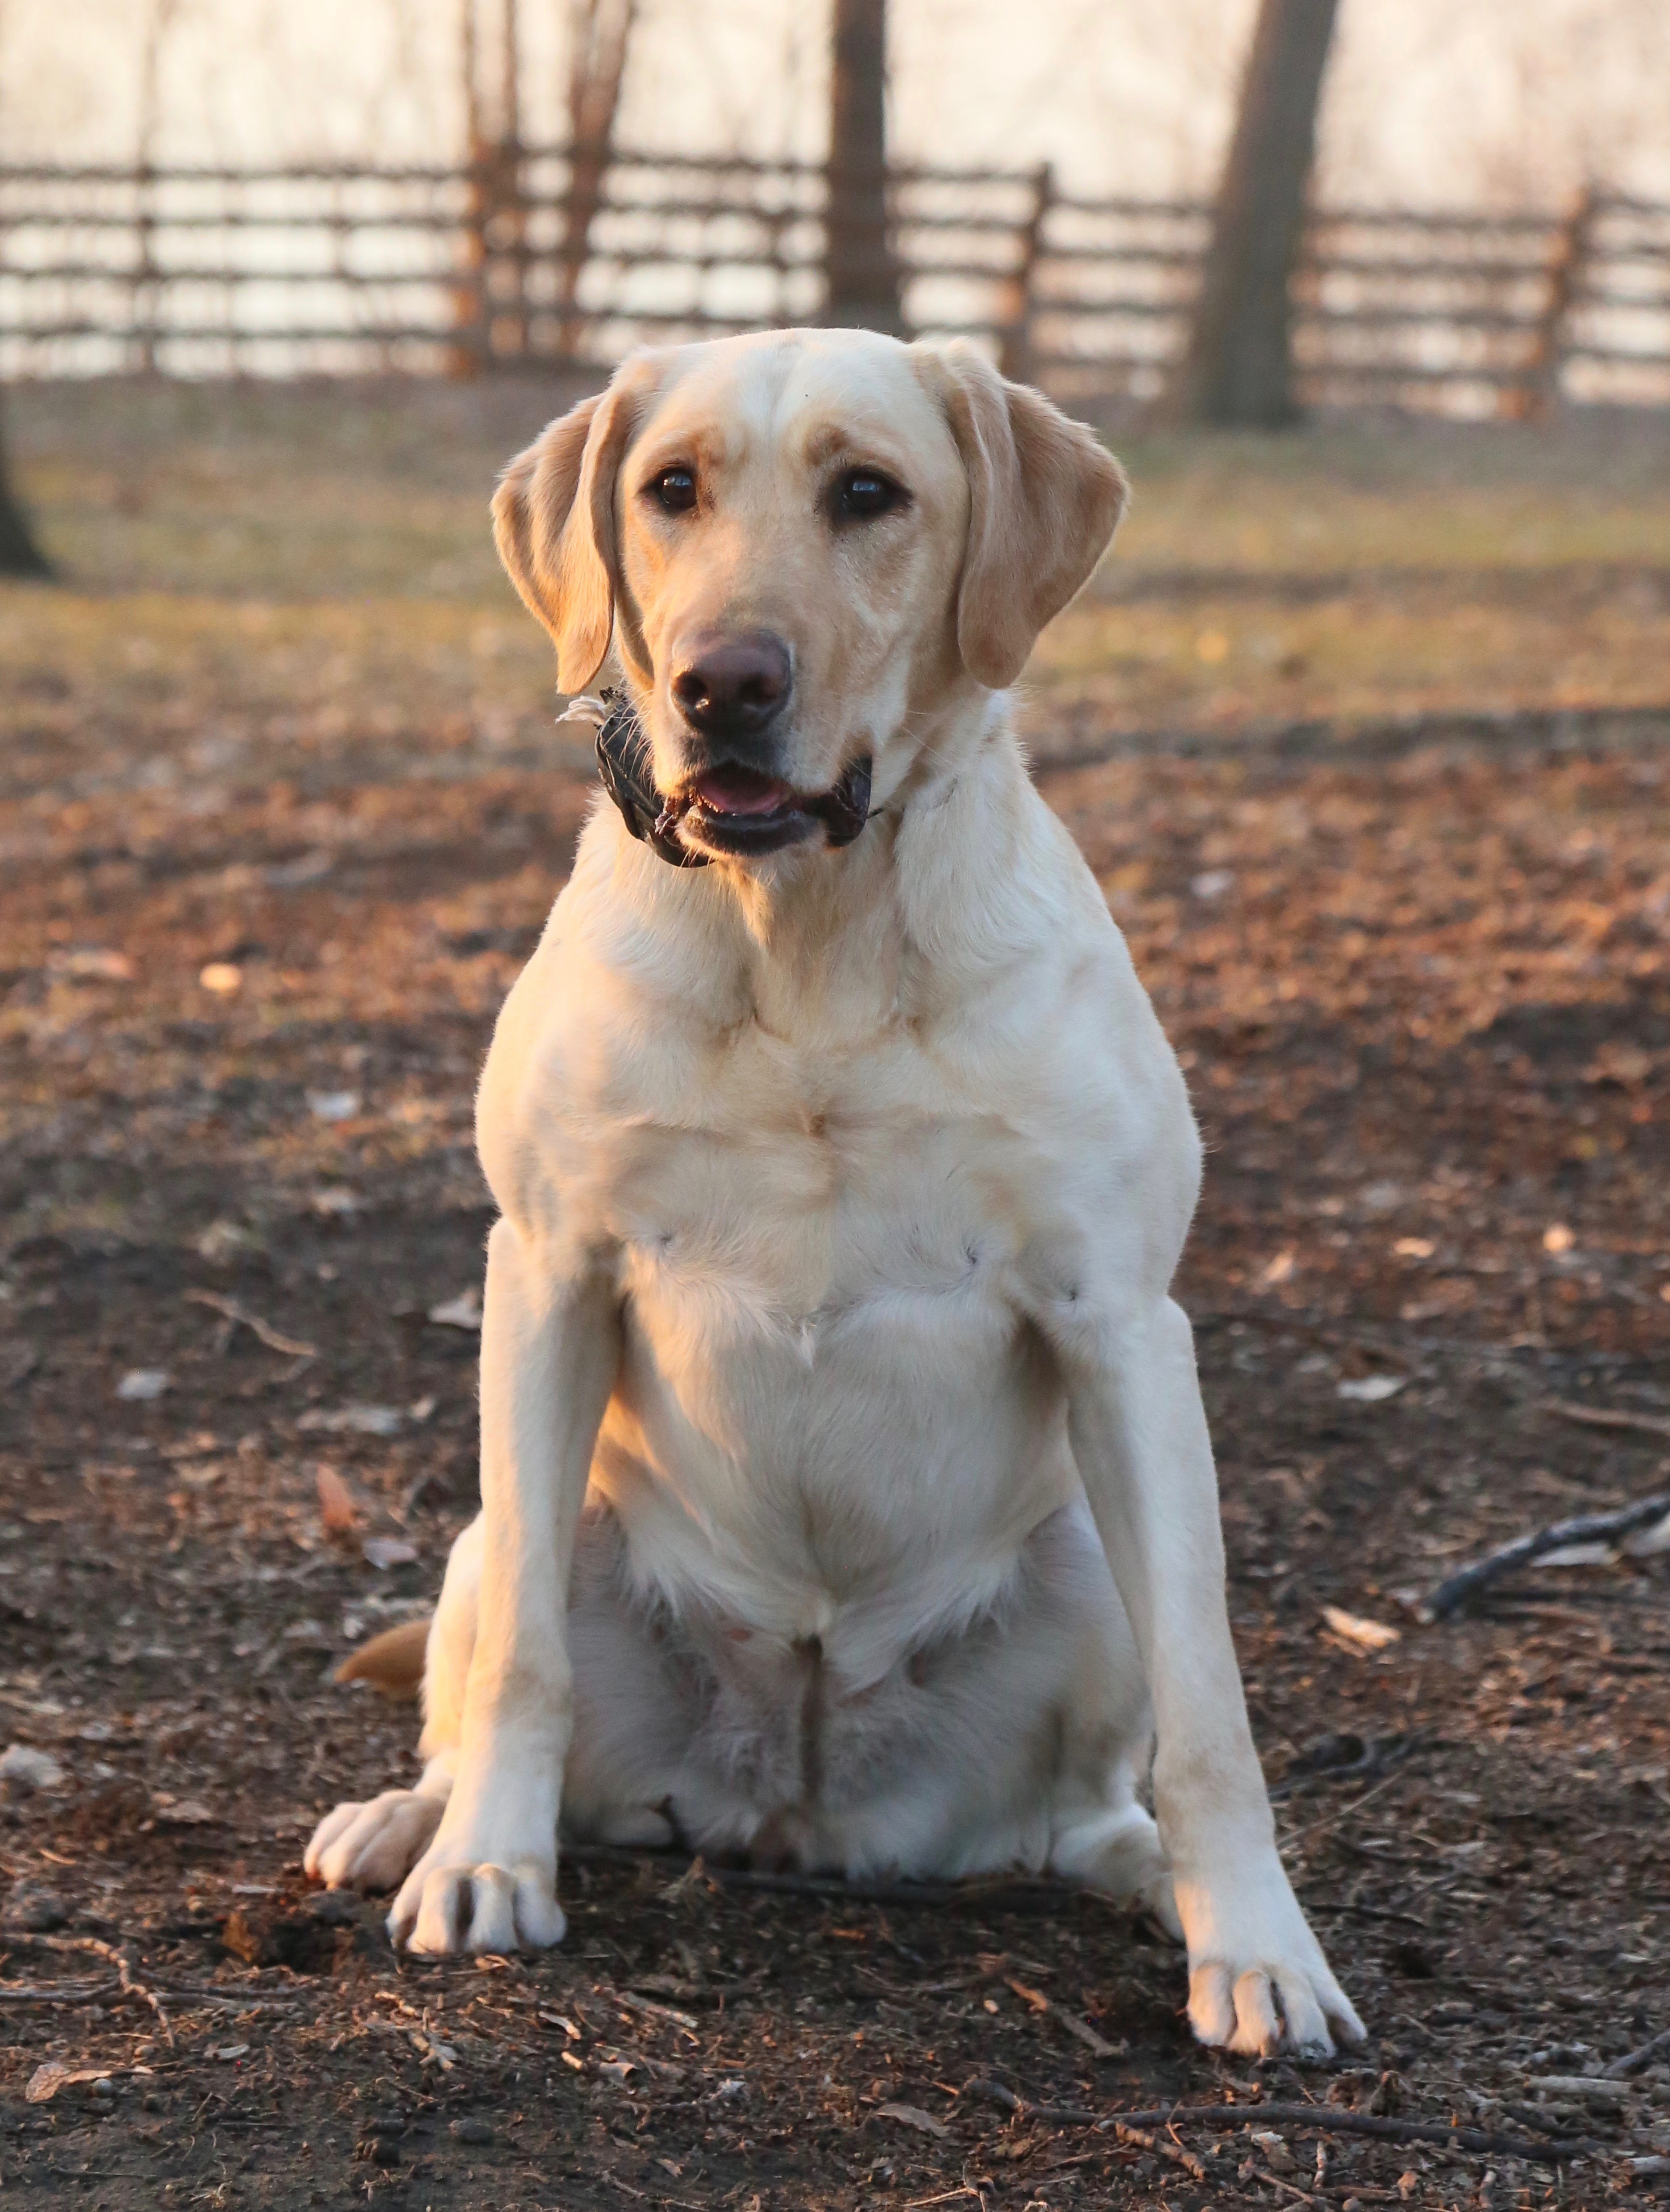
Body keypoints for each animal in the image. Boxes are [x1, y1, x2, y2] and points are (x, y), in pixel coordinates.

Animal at [307, 327, 1362, 2052]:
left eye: (867, 493)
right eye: (670, 488)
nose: (721, 684)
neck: (803, 929)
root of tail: (797, 1808)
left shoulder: (1121, 1322)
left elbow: (1215, 1717)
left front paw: (1263, 1949)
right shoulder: (548, 1266)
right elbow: (525, 1665)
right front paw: (483, 1868)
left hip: (1088, 1557)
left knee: (1091, 1806)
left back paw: (1149, 1874)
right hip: (508, 1519)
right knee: (489, 1661)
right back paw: (417, 1820)